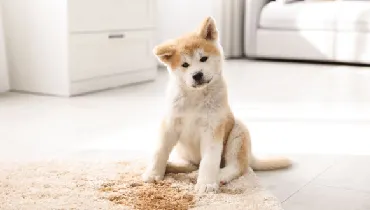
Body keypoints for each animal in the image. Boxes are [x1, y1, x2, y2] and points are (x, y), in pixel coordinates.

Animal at [142, 16, 292, 194]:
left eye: (203, 58)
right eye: (185, 65)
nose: (197, 75)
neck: (196, 96)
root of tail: (251, 156)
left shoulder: (213, 127)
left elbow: (209, 160)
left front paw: (206, 184)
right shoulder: (170, 124)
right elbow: (160, 151)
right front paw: (153, 173)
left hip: (238, 133)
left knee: (237, 167)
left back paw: (216, 176)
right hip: (185, 151)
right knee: (192, 165)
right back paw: (174, 167)